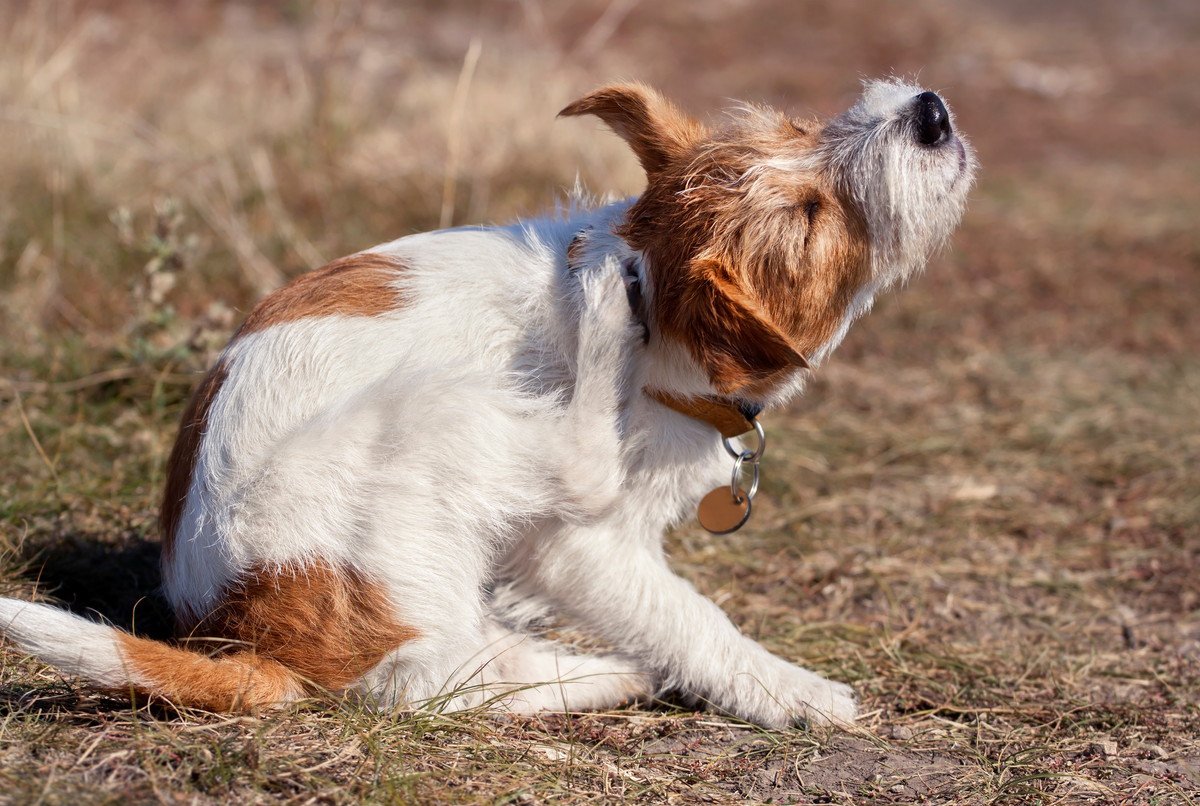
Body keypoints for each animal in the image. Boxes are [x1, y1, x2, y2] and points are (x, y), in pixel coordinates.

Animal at [0, 78, 974, 729]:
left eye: (801, 127)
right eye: (811, 216)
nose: (929, 110)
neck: (661, 311)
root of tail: (249, 637)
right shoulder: (583, 548)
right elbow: (688, 616)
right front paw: (793, 691)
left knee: (461, 666)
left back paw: (598, 669)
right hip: (436, 412)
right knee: (425, 676)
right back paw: (598, 314)